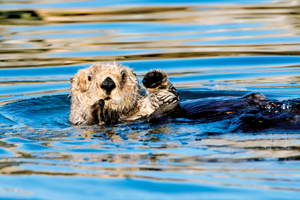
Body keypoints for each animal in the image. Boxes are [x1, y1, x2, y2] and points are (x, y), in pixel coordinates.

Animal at [69, 62, 300, 131]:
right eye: (89, 78)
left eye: (123, 76)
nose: (108, 83)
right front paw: (97, 110)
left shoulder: (153, 105)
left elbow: (166, 95)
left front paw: (154, 78)